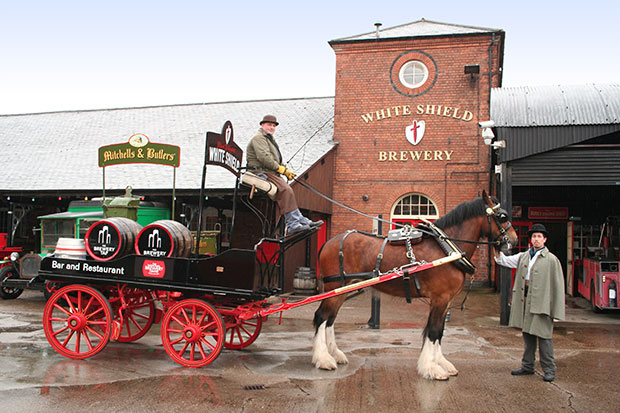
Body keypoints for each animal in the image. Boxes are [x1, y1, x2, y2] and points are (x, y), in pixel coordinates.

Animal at [310, 190, 520, 380]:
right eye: (502, 216)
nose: (514, 240)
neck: (446, 249)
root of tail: (330, 242)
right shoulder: (440, 299)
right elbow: (433, 331)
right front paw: (432, 368)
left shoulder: (447, 301)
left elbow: (440, 331)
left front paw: (441, 363)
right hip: (335, 288)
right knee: (321, 317)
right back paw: (323, 359)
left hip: (341, 290)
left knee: (330, 319)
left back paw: (335, 354)